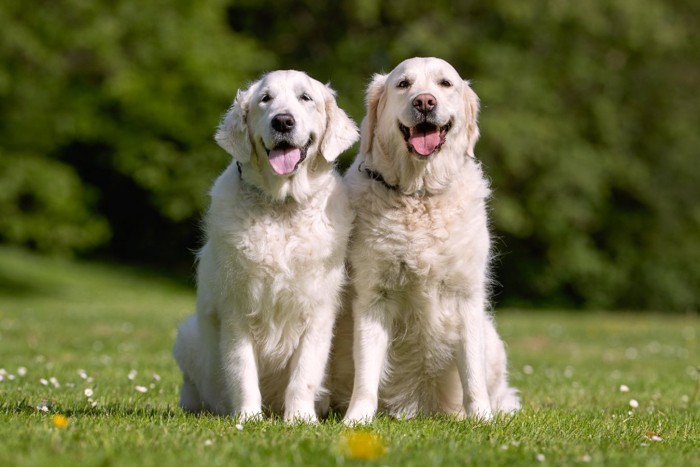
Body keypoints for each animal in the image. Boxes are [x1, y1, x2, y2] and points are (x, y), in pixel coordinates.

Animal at [172, 70, 358, 424]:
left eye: (305, 98)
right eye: (265, 99)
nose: (282, 121)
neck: (281, 207)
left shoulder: (317, 310)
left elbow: (304, 374)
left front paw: (300, 419)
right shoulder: (237, 308)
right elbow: (242, 370)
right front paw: (248, 419)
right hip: (187, 335)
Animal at [332, 56, 520, 422]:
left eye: (445, 83)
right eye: (403, 84)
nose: (424, 102)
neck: (419, 194)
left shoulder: (466, 297)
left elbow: (472, 373)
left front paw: (481, 418)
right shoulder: (374, 296)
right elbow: (366, 373)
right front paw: (357, 419)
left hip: (493, 340)